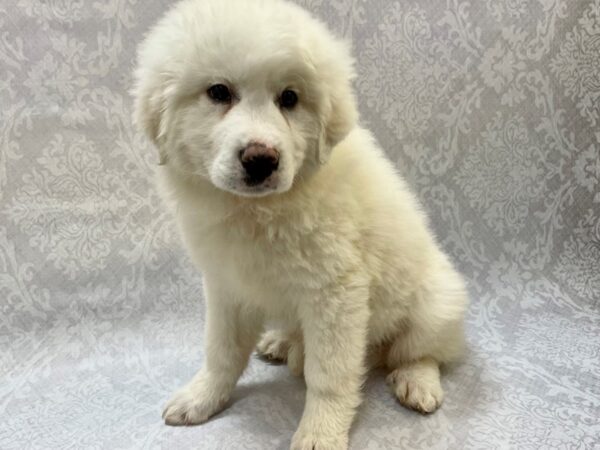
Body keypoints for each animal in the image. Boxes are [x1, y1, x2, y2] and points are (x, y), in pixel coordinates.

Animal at [132, 0, 468, 446]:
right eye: (218, 92)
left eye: (289, 98)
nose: (261, 159)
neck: (256, 212)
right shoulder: (226, 285)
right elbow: (221, 351)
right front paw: (201, 398)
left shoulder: (335, 293)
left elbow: (329, 375)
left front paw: (319, 433)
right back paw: (281, 341)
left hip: (437, 303)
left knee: (420, 351)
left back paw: (416, 382)